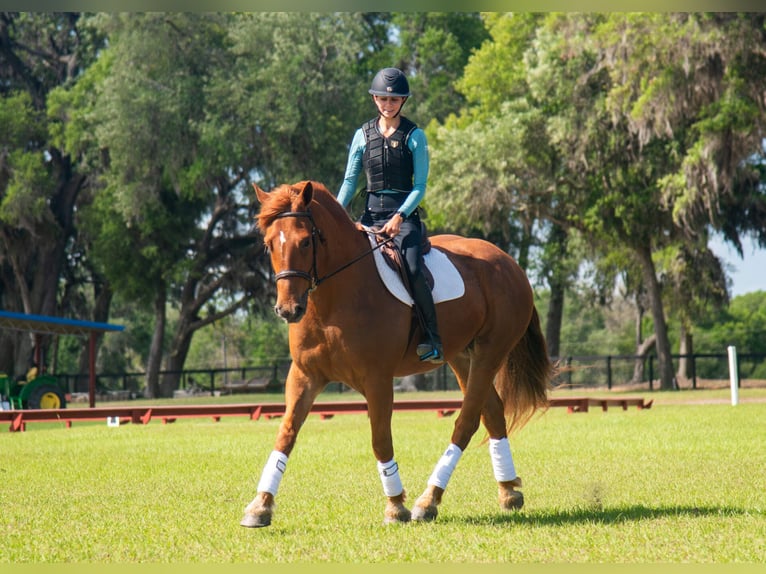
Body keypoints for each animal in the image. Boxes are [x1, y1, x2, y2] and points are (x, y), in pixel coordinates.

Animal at [241, 180, 553, 527]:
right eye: (269, 244)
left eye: (306, 241)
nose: (288, 310)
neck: (333, 301)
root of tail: (509, 263)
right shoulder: (304, 376)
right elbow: (286, 434)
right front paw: (260, 506)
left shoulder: (377, 379)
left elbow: (380, 439)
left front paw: (395, 506)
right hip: (462, 356)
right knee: (493, 412)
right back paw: (508, 491)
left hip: (490, 351)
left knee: (467, 421)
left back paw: (428, 501)